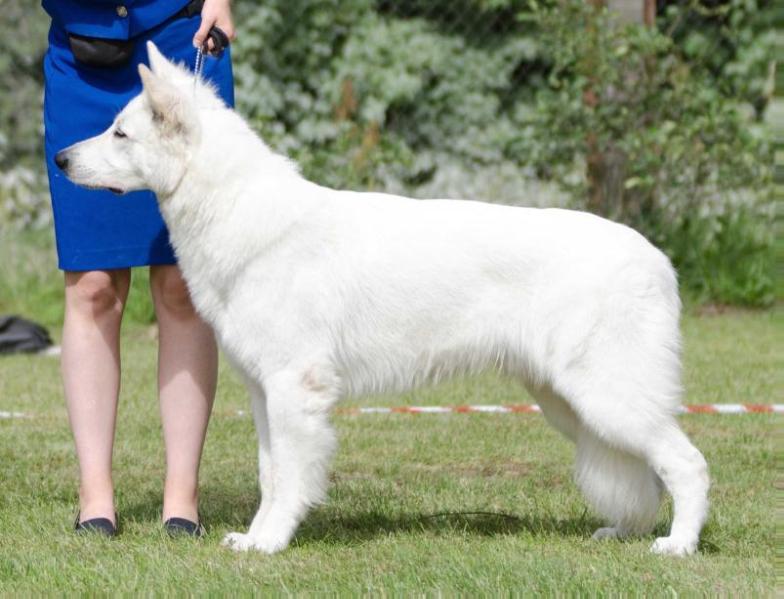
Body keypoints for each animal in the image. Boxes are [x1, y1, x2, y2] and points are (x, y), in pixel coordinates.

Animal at [56, 41, 712, 556]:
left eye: (120, 133)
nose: (60, 158)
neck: (234, 208)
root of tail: (659, 261)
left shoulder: (295, 390)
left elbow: (289, 476)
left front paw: (271, 543)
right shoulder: (266, 394)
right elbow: (271, 473)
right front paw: (255, 537)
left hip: (604, 395)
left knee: (687, 464)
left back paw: (677, 545)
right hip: (566, 400)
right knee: (647, 472)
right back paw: (625, 533)